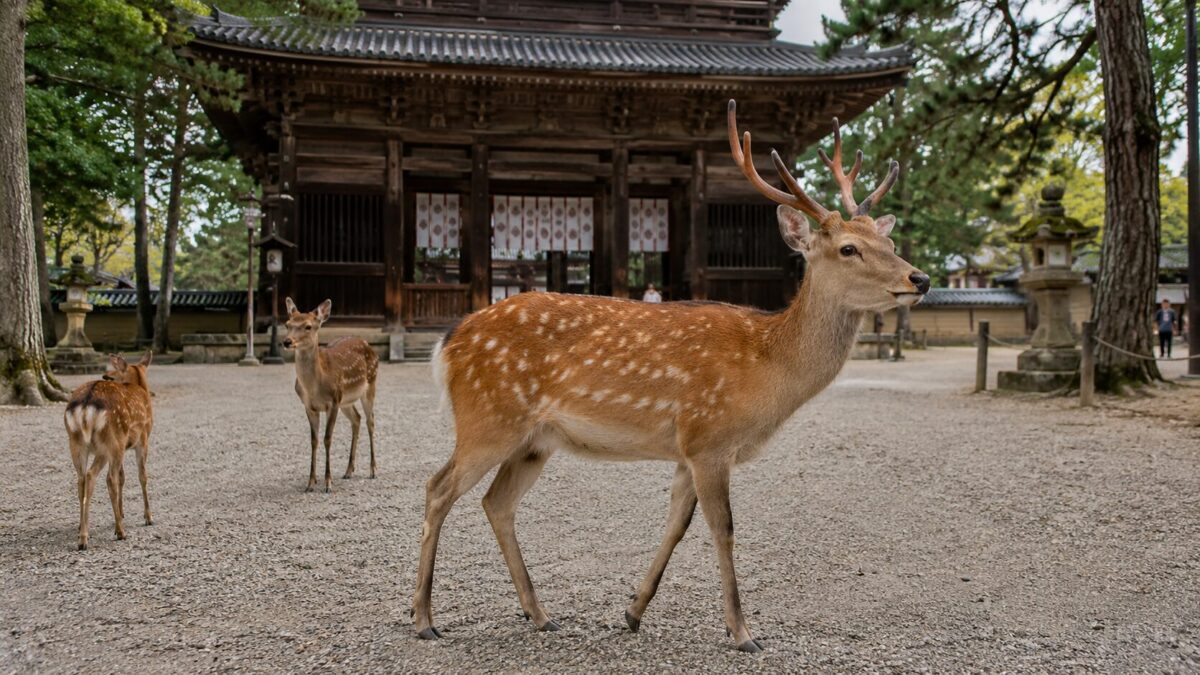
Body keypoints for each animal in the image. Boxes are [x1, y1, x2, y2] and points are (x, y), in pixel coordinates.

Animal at [64, 352, 154, 551]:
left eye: (113, 374)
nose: (105, 374)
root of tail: (86, 405)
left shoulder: (123, 447)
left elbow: (123, 477)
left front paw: (122, 513)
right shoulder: (143, 439)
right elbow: (142, 476)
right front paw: (148, 517)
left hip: (77, 442)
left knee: (81, 479)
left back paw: (82, 532)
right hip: (111, 441)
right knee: (103, 478)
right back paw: (118, 532)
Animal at [283, 298, 379, 493]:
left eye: (308, 326)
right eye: (287, 324)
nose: (287, 341)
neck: (314, 388)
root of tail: (370, 347)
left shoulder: (333, 402)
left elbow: (327, 438)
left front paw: (328, 483)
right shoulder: (309, 406)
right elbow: (314, 440)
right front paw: (310, 483)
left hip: (370, 385)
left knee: (370, 421)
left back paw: (373, 470)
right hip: (346, 400)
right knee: (356, 419)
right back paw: (348, 470)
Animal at [410, 100, 930, 652]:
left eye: (888, 239)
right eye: (849, 248)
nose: (919, 278)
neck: (767, 370)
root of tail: (449, 342)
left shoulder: (687, 448)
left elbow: (675, 526)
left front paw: (633, 612)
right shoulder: (710, 438)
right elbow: (723, 529)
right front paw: (742, 631)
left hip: (534, 440)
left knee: (497, 502)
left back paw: (540, 614)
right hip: (488, 419)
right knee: (438, 488)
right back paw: (423, 618)